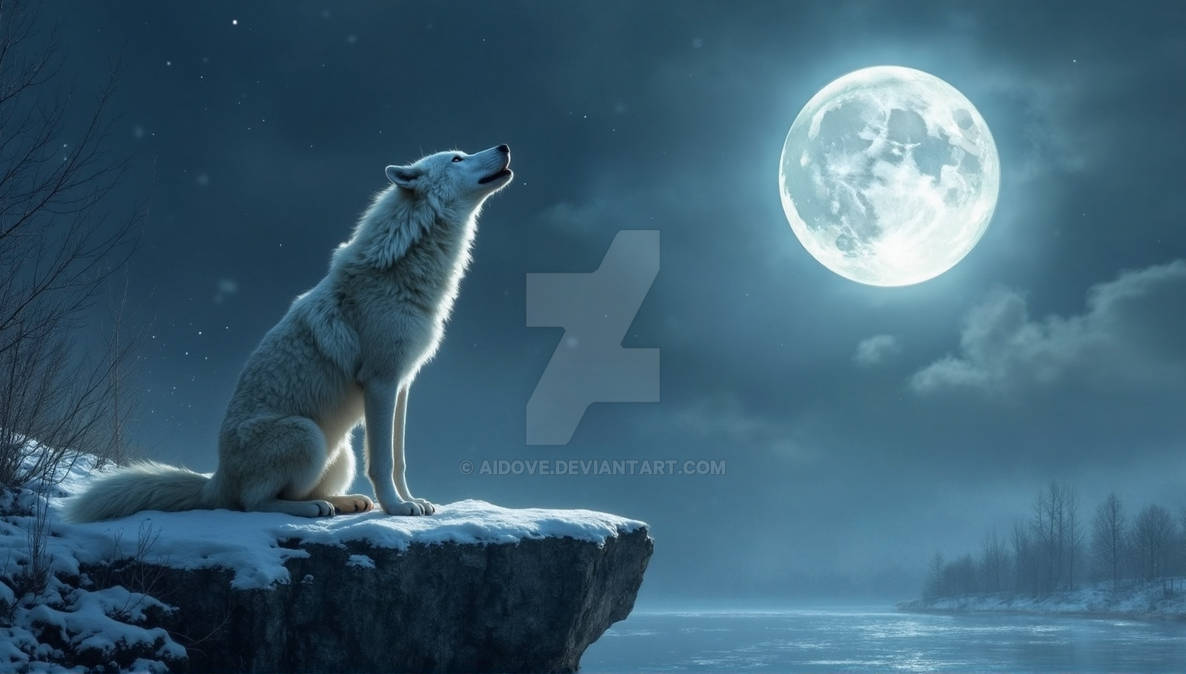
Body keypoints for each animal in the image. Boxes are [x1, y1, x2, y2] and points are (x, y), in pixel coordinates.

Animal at [67, 145, 513, 521]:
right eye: (457, 157)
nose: (505, 146)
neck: (404, 270)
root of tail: (215, 481)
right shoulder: (381, 382)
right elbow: (383, 461)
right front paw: (395, 509)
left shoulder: (402, 383)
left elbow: (399, 458)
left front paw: (412, 501)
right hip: (307, 434)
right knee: (255, 503)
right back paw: (314, 509)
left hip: (340, 452)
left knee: (296, 493)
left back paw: (343, 502)